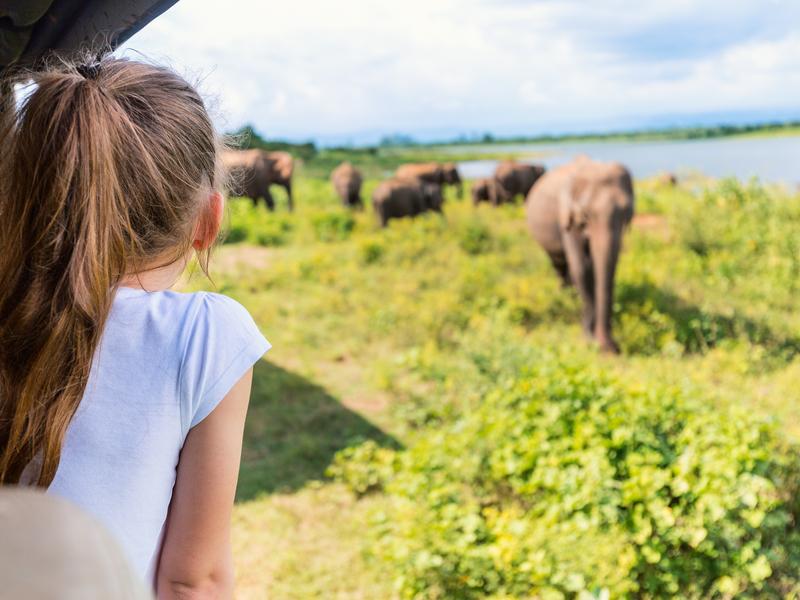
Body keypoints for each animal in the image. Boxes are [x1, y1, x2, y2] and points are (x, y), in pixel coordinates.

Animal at [526, 156, 634, 354]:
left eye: (626, 212)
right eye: (586, 214)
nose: (612, 348)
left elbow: (603, 268)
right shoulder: (566, 216)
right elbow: (582, 267)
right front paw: (588, 338)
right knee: (559, 264)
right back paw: (566, 295)